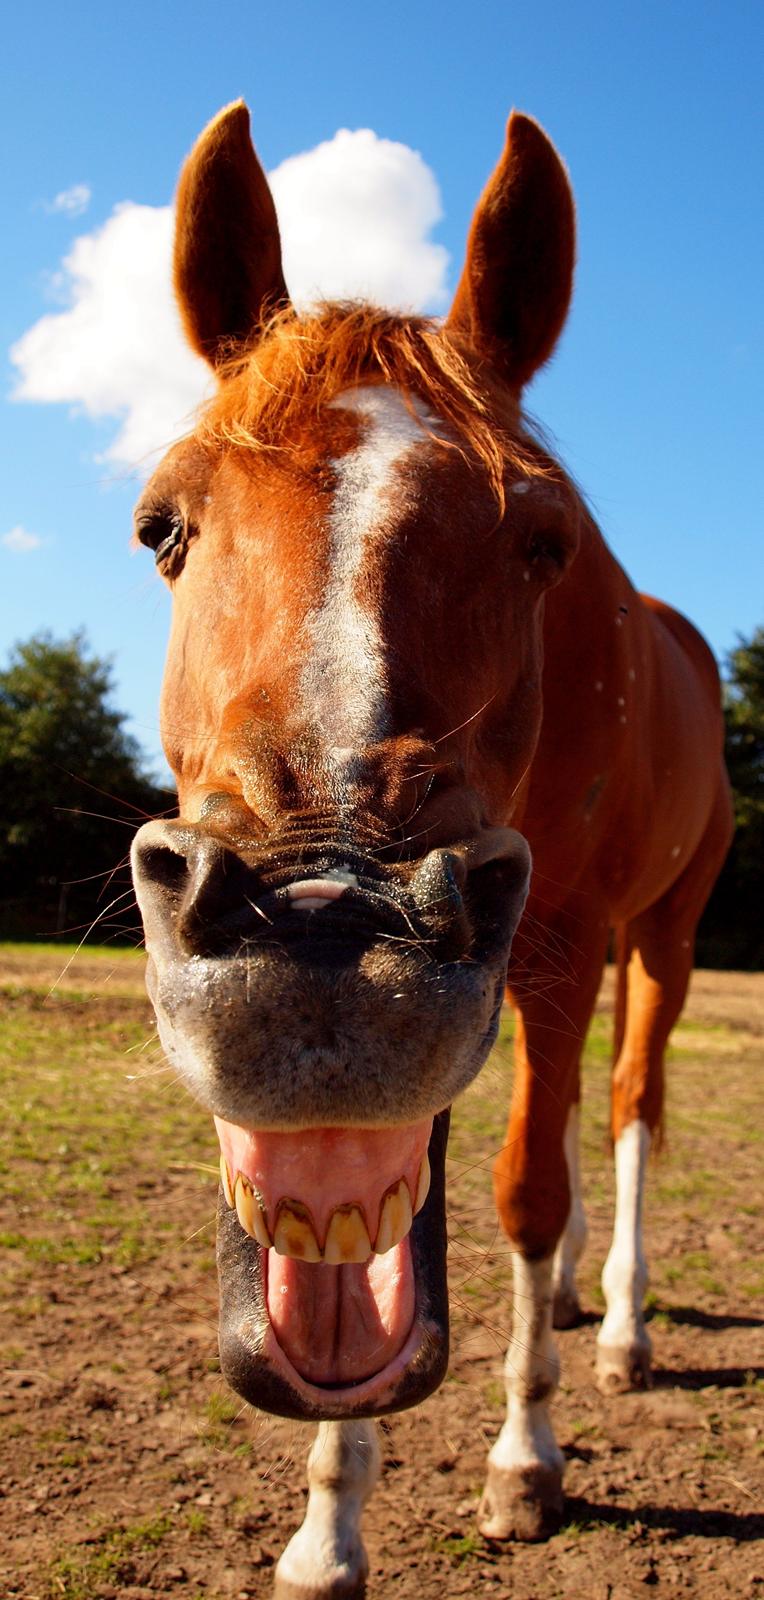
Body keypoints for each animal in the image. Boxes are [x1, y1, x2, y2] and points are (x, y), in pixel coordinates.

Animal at [129, 103, 728, 1600]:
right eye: (162, 526)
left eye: (543, 540)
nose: (322, 933)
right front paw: (327, 1524)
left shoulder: (559, 939)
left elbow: (522, 1189)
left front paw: (525, 1461)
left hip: (661, 937)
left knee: (621, 1110)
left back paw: (617, 1326)